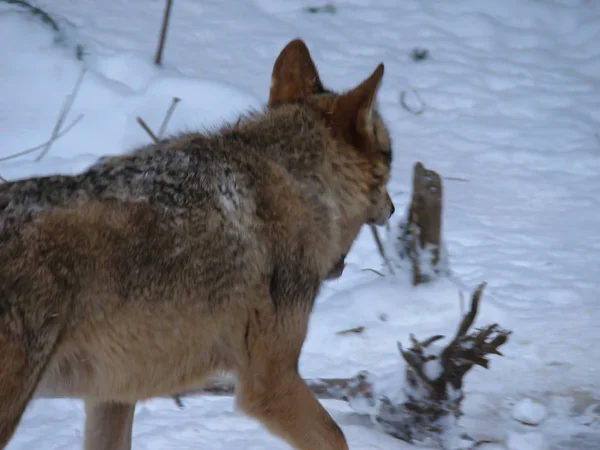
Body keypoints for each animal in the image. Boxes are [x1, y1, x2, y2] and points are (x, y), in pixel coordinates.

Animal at [0, 39, 394, 450]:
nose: (394, 208)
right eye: (390, 158)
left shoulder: (113, 394)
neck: (297, 182)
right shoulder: (269, 382)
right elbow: (337, 436)